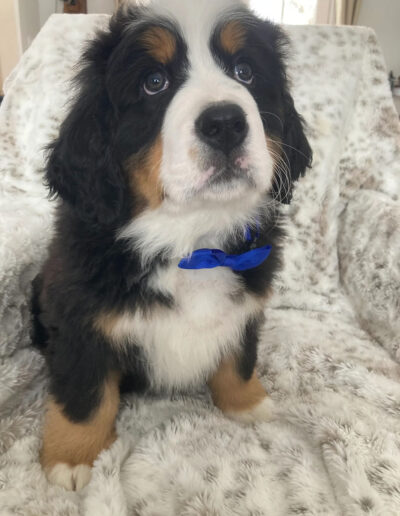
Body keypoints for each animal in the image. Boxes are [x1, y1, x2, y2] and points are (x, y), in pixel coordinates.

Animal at [32, 0, 312, 492]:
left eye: (244, 72)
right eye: (154, 82)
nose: (225, 123)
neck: (191, 244)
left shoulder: (248, 302)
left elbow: (239, 356)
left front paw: (247, 402)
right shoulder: (78, 318)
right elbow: (85, 390)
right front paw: (73, 456)